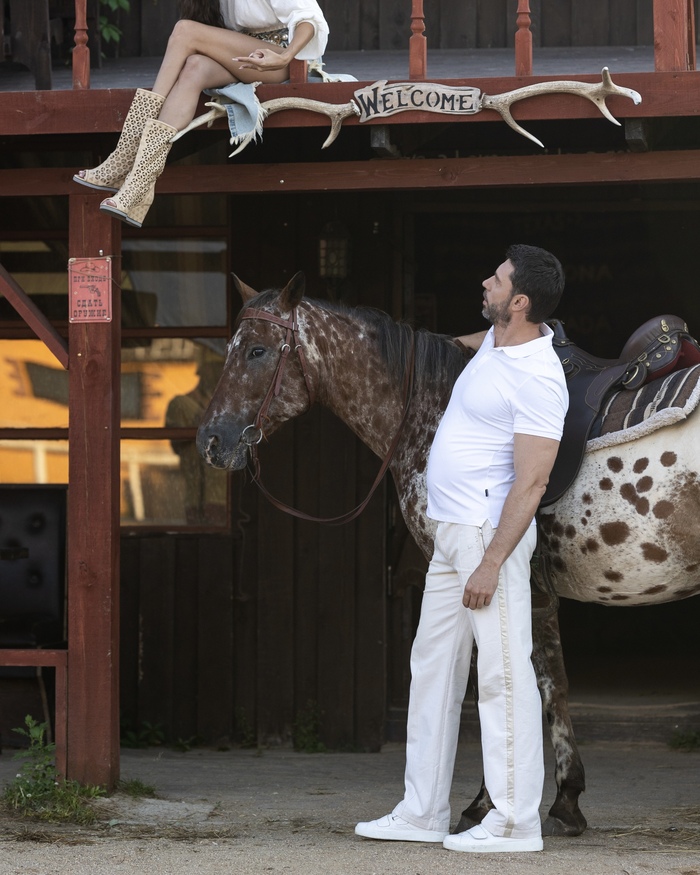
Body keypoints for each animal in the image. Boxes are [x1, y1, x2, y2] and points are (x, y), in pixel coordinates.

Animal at [196, 272, 700, 837]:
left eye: (257, 350)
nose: (211, 440)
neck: (435, 406)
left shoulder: (480, 580)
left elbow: (494, 686)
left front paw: (485, 803)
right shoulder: (536, 592)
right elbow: (549, 682)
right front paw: (566, 800)